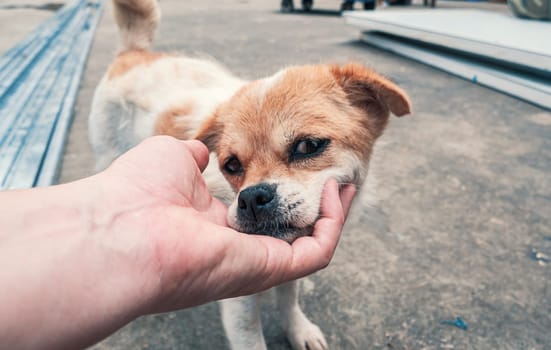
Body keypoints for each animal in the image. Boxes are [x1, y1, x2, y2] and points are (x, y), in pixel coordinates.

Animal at [88, 0, 412, 348]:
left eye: (307, 146)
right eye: (231, 165)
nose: (253, 198)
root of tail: (133, 54)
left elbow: (289, 299)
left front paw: (298, 328)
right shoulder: (239, 305)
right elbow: (253, 337)